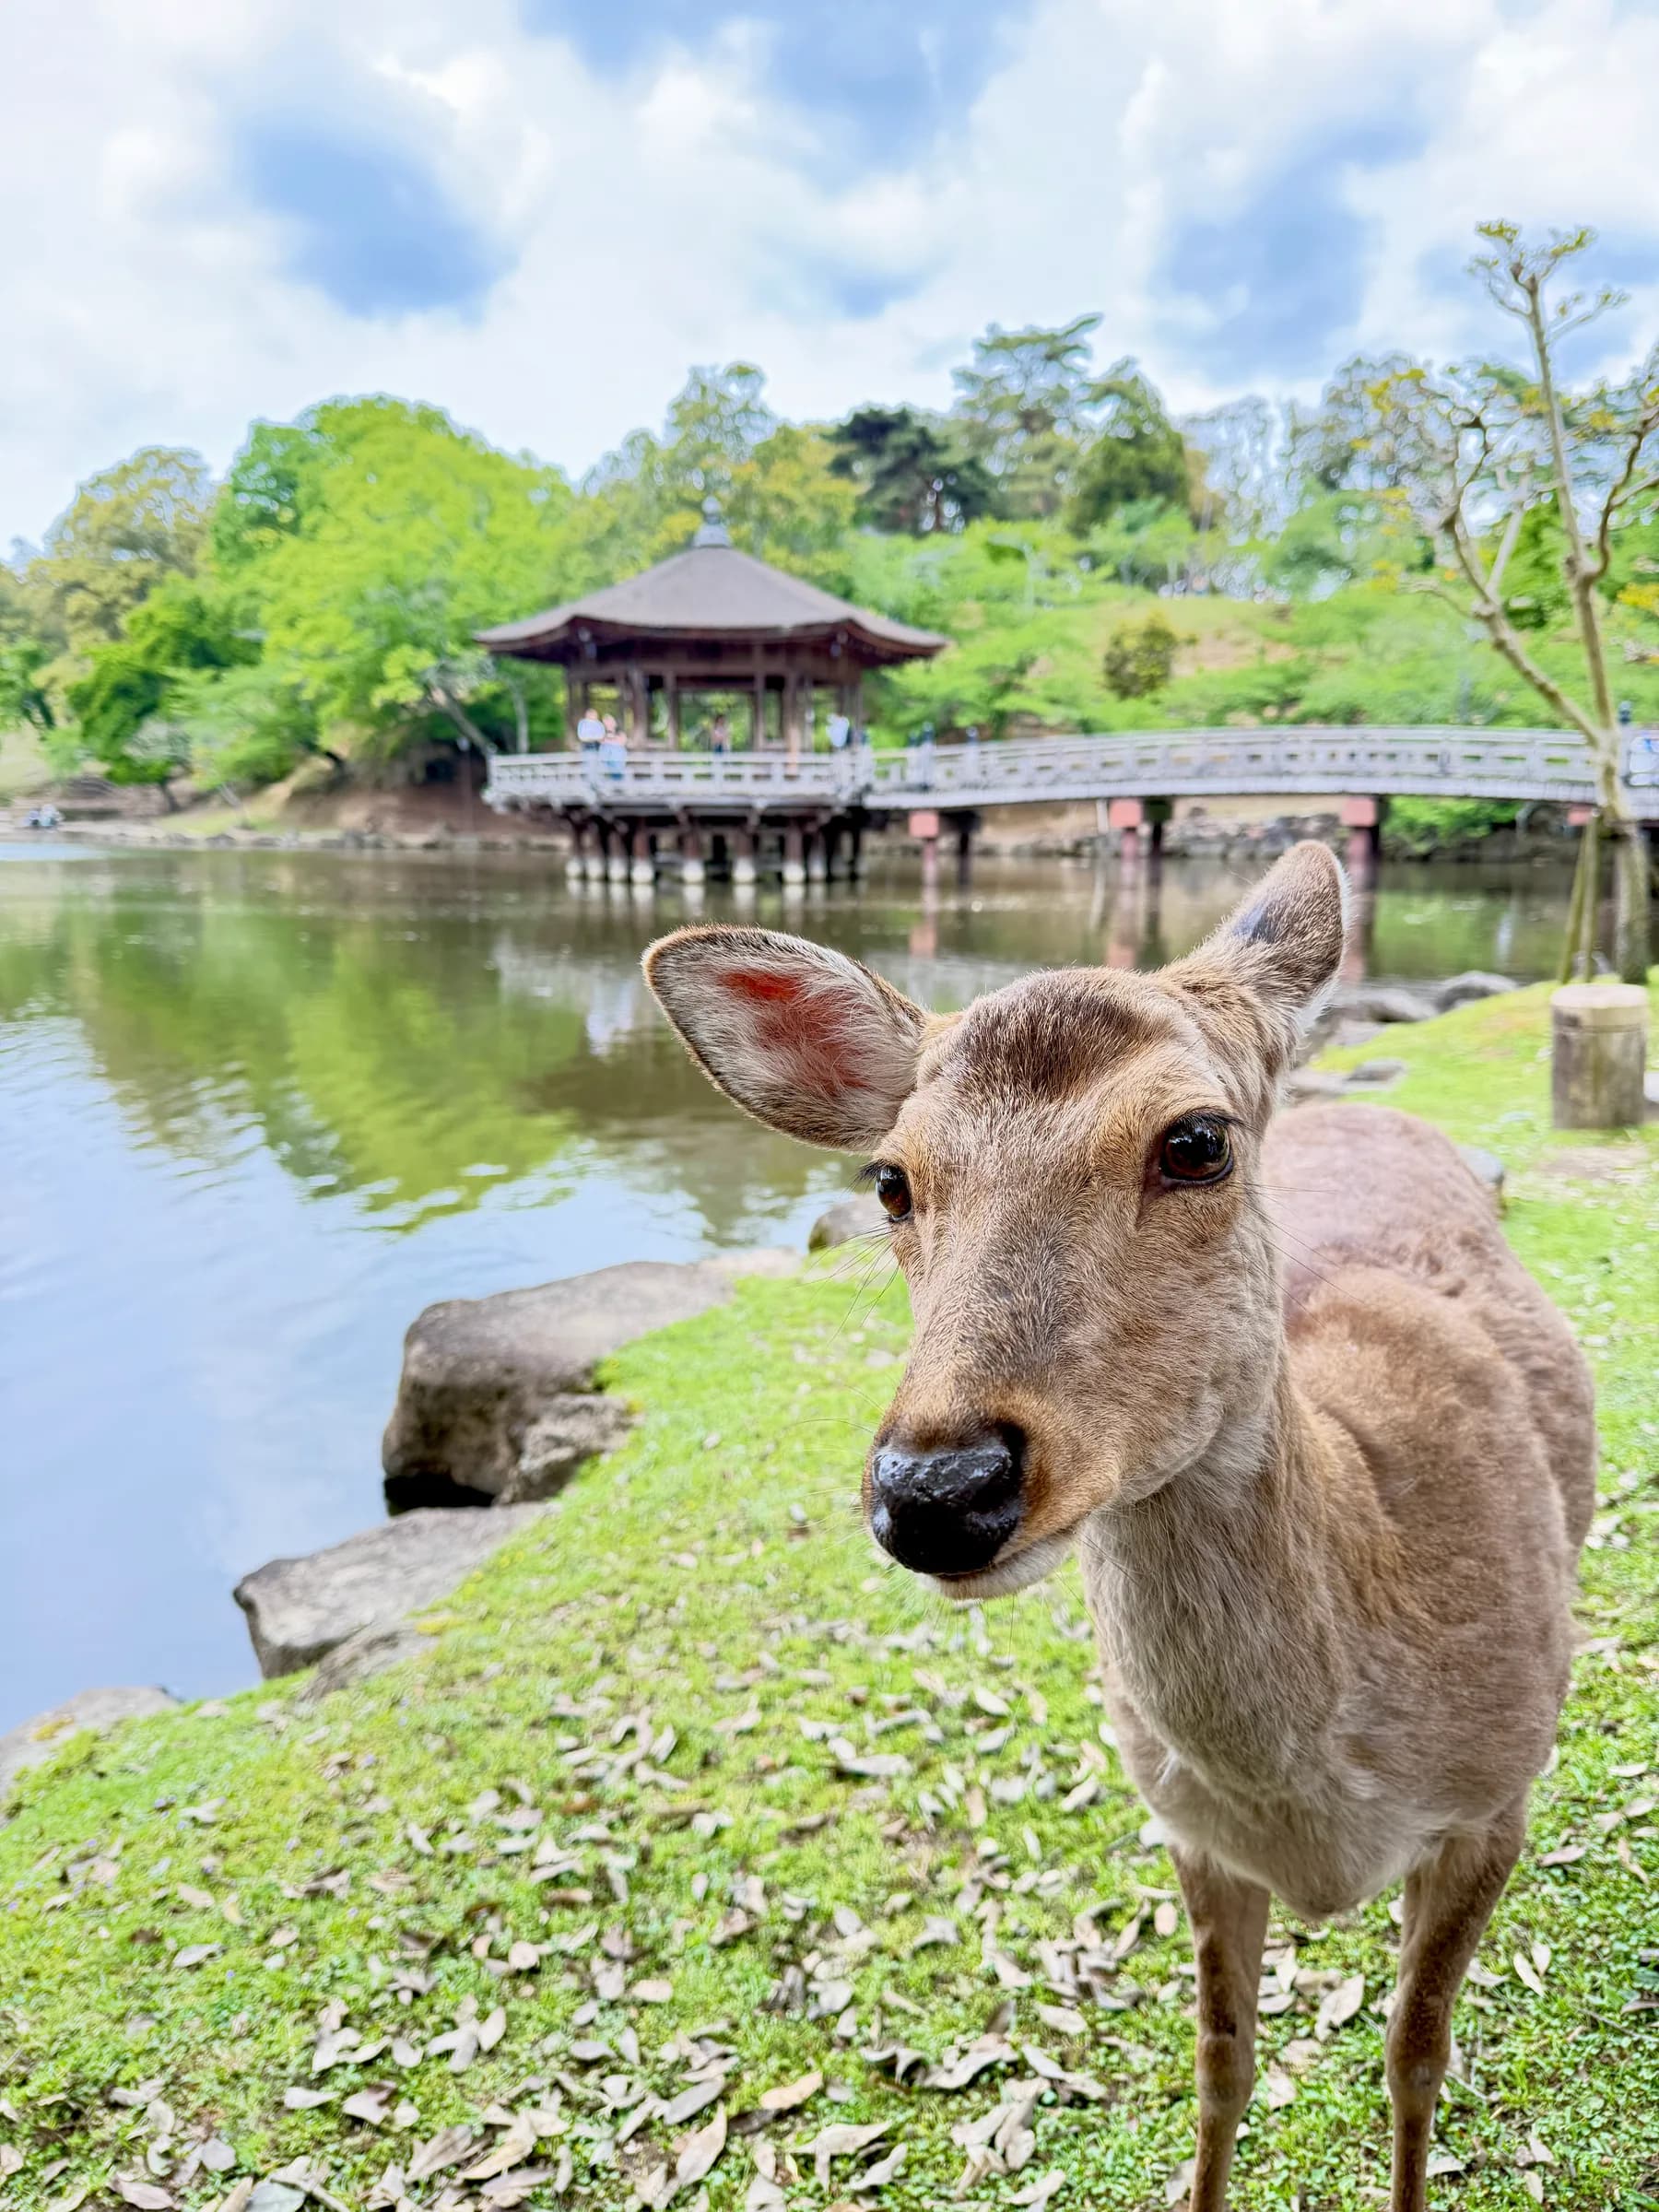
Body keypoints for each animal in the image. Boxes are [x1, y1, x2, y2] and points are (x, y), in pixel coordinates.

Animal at [642, 840, 1595, 2212]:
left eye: (1195, 1141)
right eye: (891, 1179)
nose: (939, 1490)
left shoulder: (1491, 1802)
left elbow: (1417, 2056)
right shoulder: (1187, 1827)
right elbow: (1221, 2065)